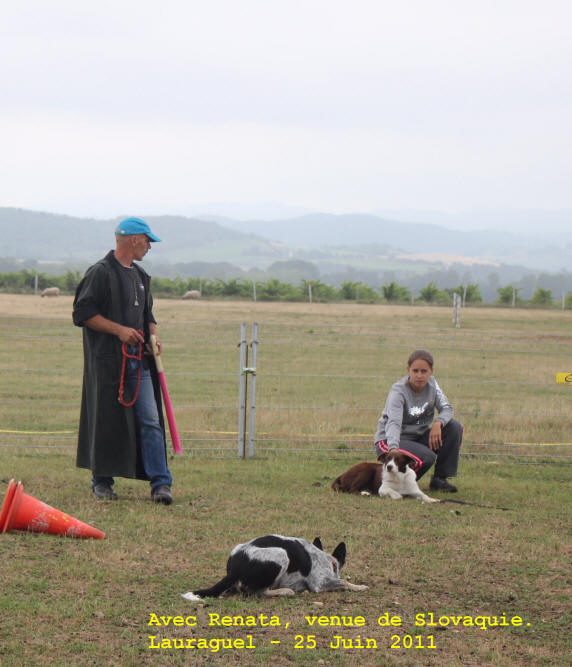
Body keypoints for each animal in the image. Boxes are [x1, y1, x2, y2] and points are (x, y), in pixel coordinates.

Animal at [184, 536, 370, 604]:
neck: (327, 559)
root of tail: (234, 570)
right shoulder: (320, 583)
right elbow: (344, 581)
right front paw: (360, 587)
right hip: (282, 555)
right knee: (258, 592)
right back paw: (285, 591)